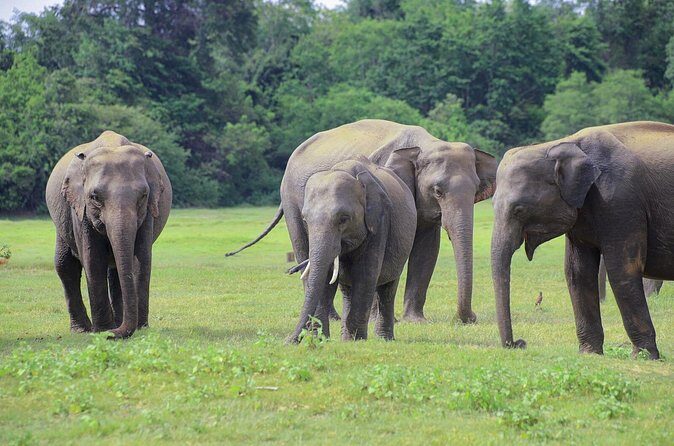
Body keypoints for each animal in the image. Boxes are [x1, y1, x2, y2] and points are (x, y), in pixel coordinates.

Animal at [46, 131, 172, 338]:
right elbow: (93, 259)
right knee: (64, 264)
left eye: (143, 196)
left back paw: (117, 322)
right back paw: (83, 329)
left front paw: (140, 327)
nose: (112, 334)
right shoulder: (81, 210)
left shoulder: (148, 212)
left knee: (116, 272)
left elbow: (141, 259)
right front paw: (102, 330)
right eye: (95, 197)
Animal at [227, 119, 497, 323]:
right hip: (293, 200)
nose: (469, 318)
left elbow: (427, 250)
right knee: (304, 247)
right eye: (438, 191)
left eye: (476, 190)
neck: (426, 144)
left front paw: (416, 321)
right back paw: (330, 317)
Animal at [286, 157, 416, 342]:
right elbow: (325, 278)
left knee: (388, 288)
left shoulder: (379, 222)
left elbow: (365, 275)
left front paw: (356, 341)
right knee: (347, 290)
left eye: (343, 219)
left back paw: (383, 339)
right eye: (305, 220)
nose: (288, 341)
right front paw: (321, 340)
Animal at [491, 121, 674, 359]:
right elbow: (577, 271)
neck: (562, 144)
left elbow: (622, 270)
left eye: (518, 210)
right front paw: (589, 353)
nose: (519, 343)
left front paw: (645, 356)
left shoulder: (621, 202)